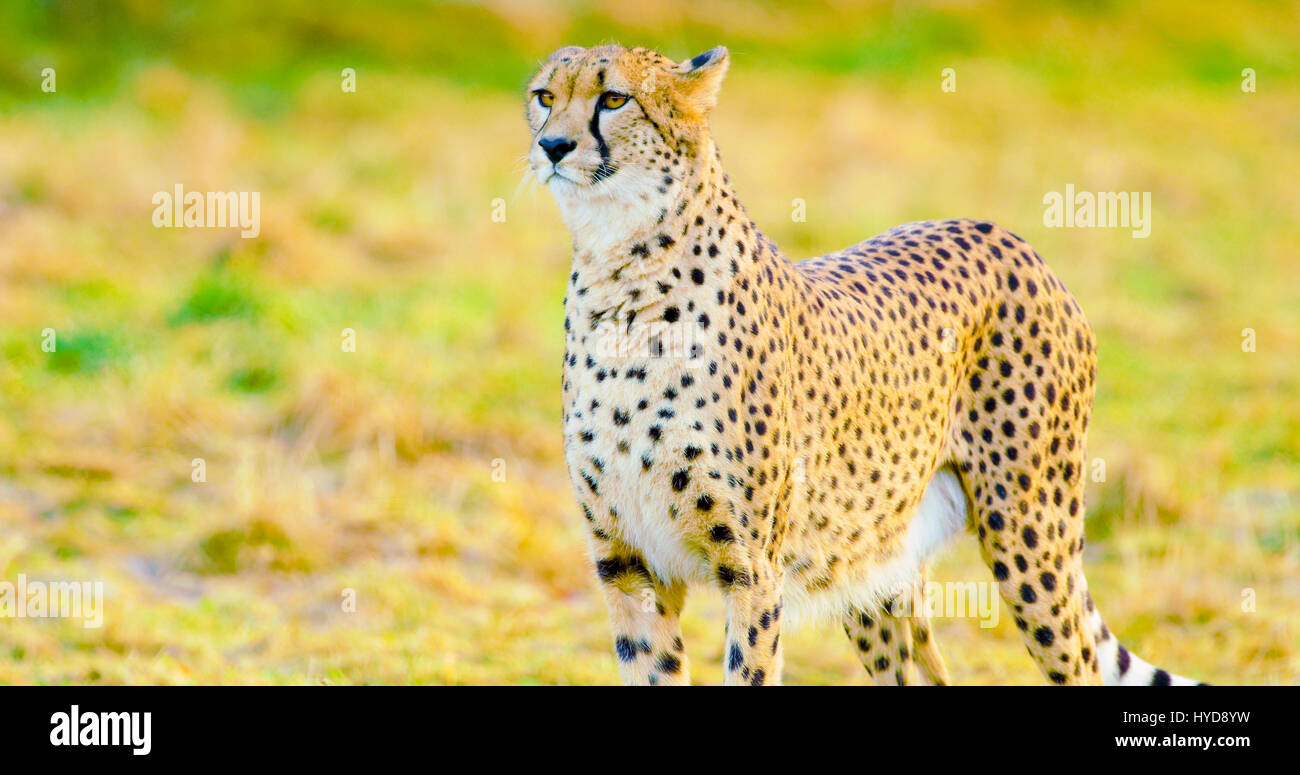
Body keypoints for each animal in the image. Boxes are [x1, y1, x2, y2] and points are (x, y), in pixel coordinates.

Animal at [527, 42, 1196, 686]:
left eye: (615, 98)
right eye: (544, 97)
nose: (552, 145)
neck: (621, 278)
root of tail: (1009, 237)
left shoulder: (750, 571)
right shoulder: (627, 564)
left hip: (1028, 535)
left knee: (1076, 661)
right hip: (867, 561)